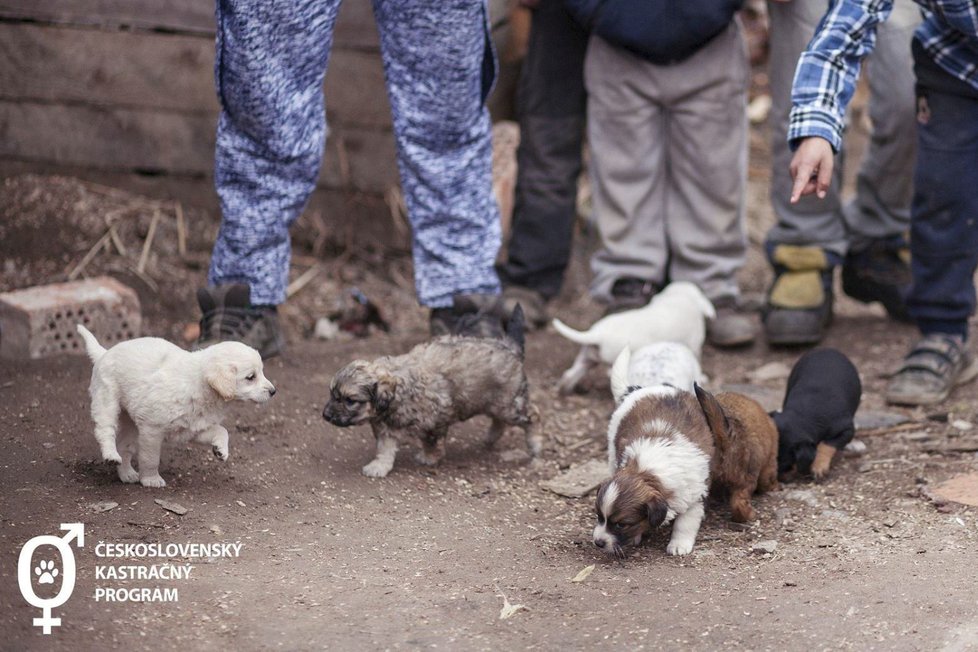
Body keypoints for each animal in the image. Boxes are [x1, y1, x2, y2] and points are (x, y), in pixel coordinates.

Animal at [75, 324, 274, 486]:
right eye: (251, 377)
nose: (273, 391)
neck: (198, 384)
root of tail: (104, 353)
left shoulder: (195, 428)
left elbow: (221, 430)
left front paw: (220, 450)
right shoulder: (152, 429)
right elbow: (150, 458)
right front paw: (151, 479)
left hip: (131, 422)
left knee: (125, 447)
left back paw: (127, 474)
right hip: (107, 401)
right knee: (105, 430)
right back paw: (111, 455)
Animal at [322, 304, 540, 476]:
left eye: (350, 400)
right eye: (332, 394)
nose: (325, 415)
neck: (399, 392)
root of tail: (511, 347)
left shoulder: (435, 423)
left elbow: (431, 443)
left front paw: (429, 457)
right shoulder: (384, 426)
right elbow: (385, 449)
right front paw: (379, 466)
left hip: (509, 404)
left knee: (533, 416)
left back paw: (536, 444)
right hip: (495, 403)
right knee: (499, 421)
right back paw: (491, 437)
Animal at [552, 280, 712, 392]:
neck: (679, 297)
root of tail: (598, 334)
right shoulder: (695, 345)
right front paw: (703, 377)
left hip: (587, 357)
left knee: (570, 374)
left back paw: (564, 389)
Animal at [772, 348, 856, 482]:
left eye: (786, 465)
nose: (778, 479)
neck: (804, 414)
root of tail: (827, 349)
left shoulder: (847, 430)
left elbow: (827, 444)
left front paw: (818, 466)